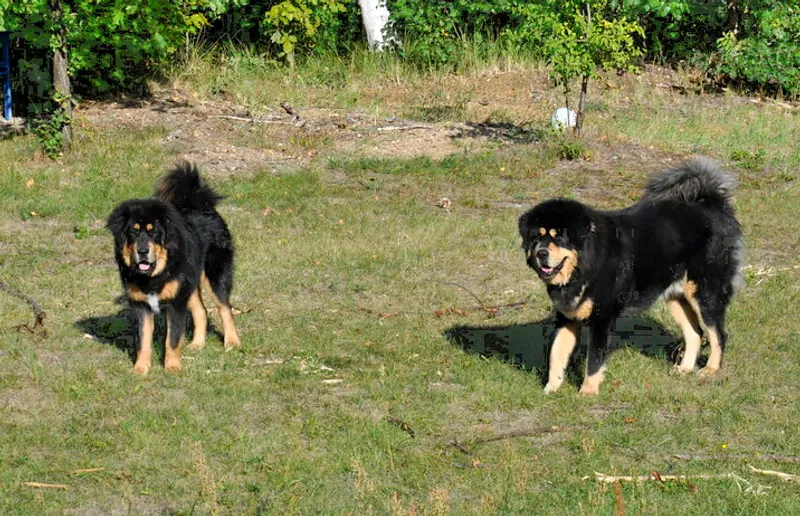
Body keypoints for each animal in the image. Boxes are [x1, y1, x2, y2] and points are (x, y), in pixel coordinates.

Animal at [107, 163, 241, 375]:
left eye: (154, 231)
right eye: (133, 231)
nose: (142, 251)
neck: (152, 276)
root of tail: (201, 205)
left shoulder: (175, 303)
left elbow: (172, 339)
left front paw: (172, 367)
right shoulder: (142, 306)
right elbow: (143, 341)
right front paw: (140, 369)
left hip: (215, 276)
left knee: (225, 308)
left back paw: (232, 342)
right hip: (190, 283)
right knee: (201, 311)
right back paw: (197, 344)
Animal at [519, 158, 744, 395]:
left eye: (559, 237)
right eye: (536, 238)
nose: (541, 253)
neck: (585, 264)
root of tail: (712, 205)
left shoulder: (602, 319)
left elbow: (593, 361)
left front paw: (587, 392)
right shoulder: (567, 317)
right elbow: (556, 354)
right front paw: (550, 390)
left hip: (704, 292)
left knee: (718, 334)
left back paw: (711, 369)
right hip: (676, 296)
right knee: (696, 333)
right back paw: (684, 369)